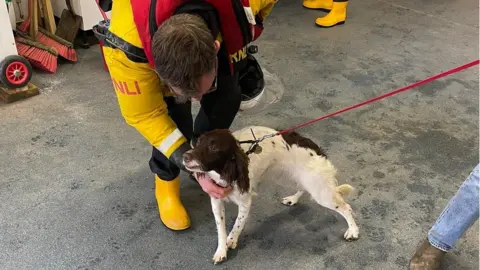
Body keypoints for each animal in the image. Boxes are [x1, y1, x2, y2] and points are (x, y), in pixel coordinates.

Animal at [182, 126, 358, 264]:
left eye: (214, 147)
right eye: (198, 142)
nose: (184, 156)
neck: (226, 172)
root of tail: (316, 150)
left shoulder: (245, 202)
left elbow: (237, 224)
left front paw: (231, 240)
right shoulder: (216, 201)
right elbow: (221, 229)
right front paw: (221, 250)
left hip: (320, 191)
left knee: (346, 207)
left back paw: (353, 231)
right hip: (302, 178)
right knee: (303, 188)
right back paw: (293, 199)